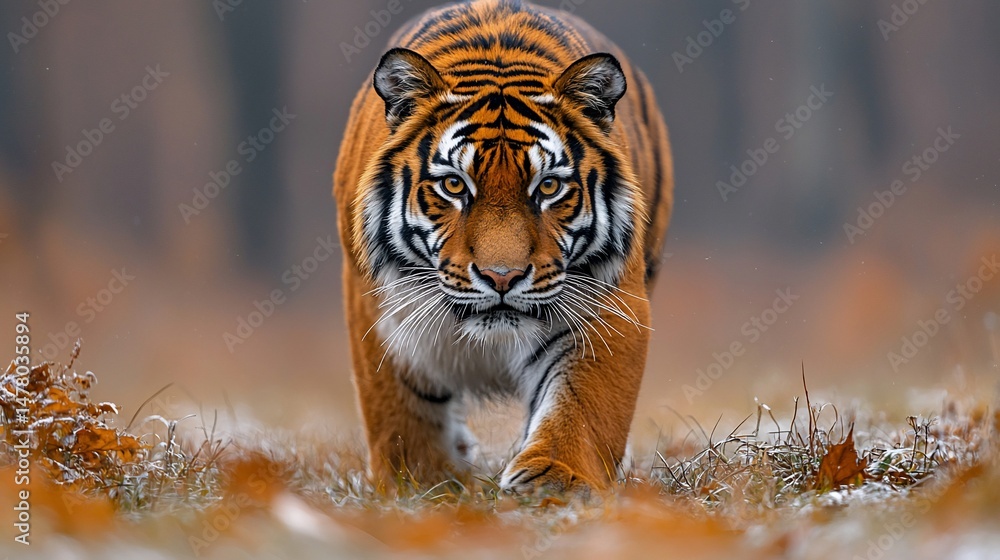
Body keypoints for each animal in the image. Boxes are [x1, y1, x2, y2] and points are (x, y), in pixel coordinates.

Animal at [333, 0, 673, 495]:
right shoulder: (374, 307)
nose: (502, 277)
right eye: (454, 185)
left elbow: (584, 402)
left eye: (548, 186)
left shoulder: (609, 299)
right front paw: (418, 485)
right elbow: (398, 411)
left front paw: (556, 479)